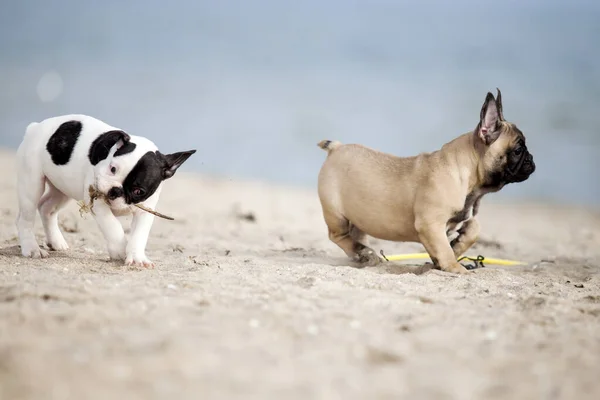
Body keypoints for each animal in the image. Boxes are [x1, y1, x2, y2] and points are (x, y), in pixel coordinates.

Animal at [15, 114, 196, 268]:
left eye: (138, 191)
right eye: (112, 169)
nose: (114, 191)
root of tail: (35, 127)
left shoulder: (145, 211)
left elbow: (139, 234)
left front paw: (137, 257)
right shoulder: (98, 203)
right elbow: (113, 226)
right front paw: (120, 250)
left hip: (62, 188)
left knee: (47, 208)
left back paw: (56, 242)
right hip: (32, 182)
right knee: (26, 218)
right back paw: (32, 248)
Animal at [316, 89, 536, 274]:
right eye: (518, 150)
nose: (531, 160)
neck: (469, 181)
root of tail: (336, 147)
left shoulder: (463, 215)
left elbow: (473, 229)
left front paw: (455, 248)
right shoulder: (431, 223)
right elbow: (443, 249)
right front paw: (454, 267)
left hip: (360, 216)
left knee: (357, 234)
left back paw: (364, 254)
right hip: (336, 214)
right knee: (338, 236)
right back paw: (362, 251)